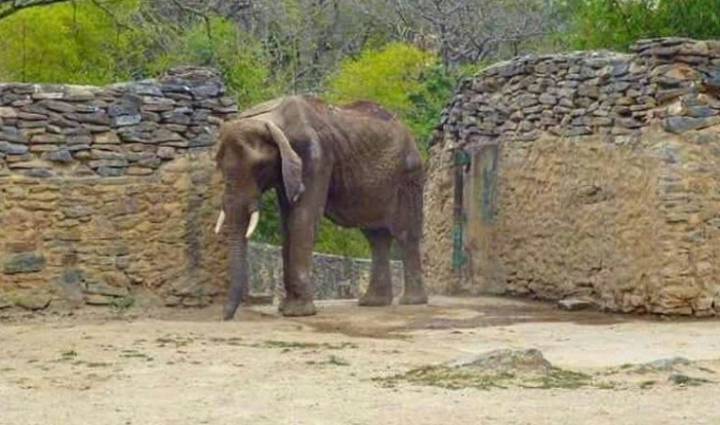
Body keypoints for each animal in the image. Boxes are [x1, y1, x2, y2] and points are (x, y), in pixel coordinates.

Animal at [214, 95, 427, 320]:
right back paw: (373, 303)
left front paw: (297, 312)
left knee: (405, 234)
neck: (271, 117)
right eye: (219, 165)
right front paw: (286, 308)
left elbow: (302, 218)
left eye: (259, 166)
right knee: (376, 237)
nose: (226, 317)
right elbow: (287, 222)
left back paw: (411, 302)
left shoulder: (315, 157)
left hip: (409, 178)